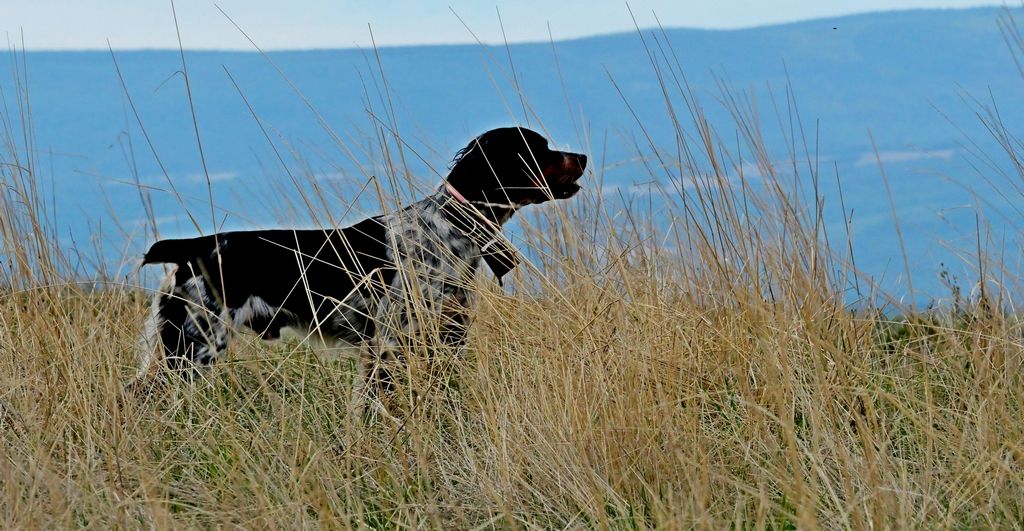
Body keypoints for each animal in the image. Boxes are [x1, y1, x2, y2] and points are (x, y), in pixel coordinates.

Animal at [133, 126, 589, 396]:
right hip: (192, 345)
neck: (449, 228)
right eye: (539, 148)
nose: (583, 156)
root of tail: (190, 248)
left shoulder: (445, 337)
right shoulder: (390, 344)